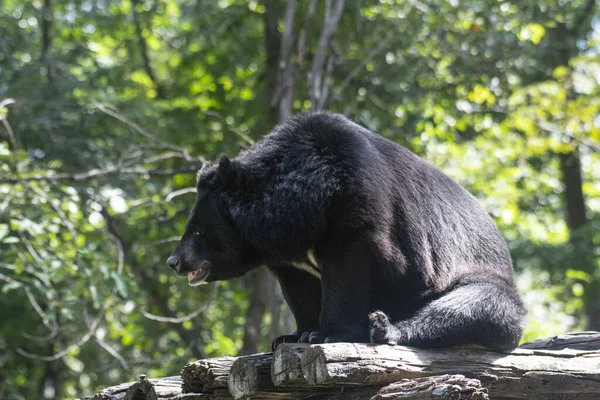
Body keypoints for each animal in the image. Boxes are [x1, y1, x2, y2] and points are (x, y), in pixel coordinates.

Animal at [165, 112, 524, 350]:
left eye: (196, 232)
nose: (174, 262)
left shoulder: (355, 212)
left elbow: (347, 274)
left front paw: (326, 333)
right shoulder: (288, 258)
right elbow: (300, 291)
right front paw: (292, 335)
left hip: (477, 277)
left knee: (475, 306)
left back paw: (384, 328)